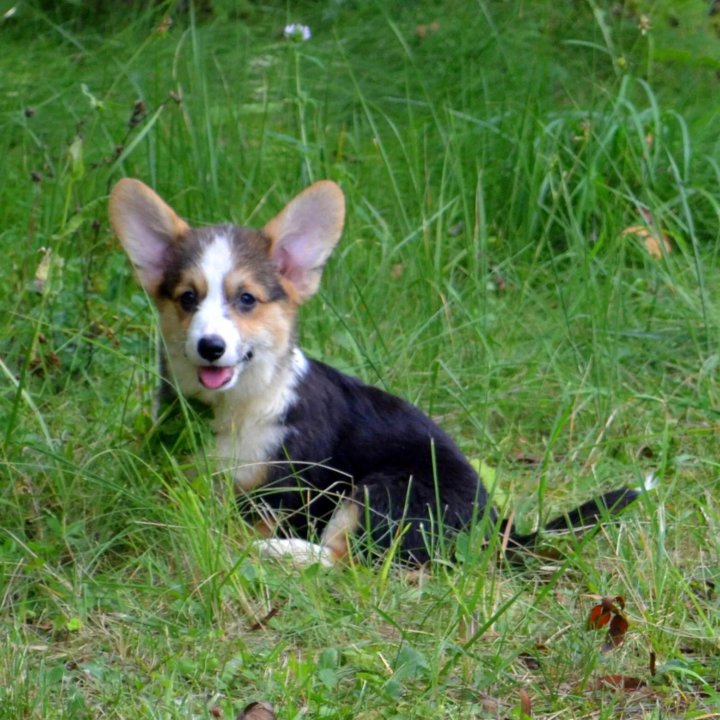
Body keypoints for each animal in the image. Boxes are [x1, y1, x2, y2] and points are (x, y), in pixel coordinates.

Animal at [109, 180, 640, 568]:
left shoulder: (286, 493)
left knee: (345, 559)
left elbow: (250, 525)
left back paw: (279, 552)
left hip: (382, 491)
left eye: (246, 299)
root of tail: (497, 531)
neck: (241, 407)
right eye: (187, 298)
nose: (211, 347)